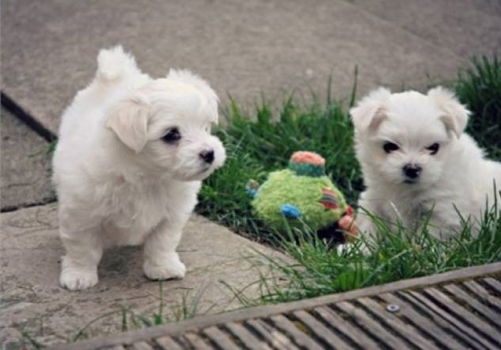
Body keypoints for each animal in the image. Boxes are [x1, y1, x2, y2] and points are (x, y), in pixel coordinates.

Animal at [52, 47, 225, 292]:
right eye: (171, 135)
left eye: (206, 127)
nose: (209, 153)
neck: (146, 177)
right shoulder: (81, 213)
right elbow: (82, 247)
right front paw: (79, 274)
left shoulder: (172, 214)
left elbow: (162, 242)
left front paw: (163, 268)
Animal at [350, 86, 498, 242]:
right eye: (389, 146)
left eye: (434, 147)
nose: (412, 169)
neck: (406, 189)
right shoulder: (374, 199)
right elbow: (369, 225)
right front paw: (362, 246)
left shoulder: (442, 210)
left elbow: (427, 236)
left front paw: (416, 247)